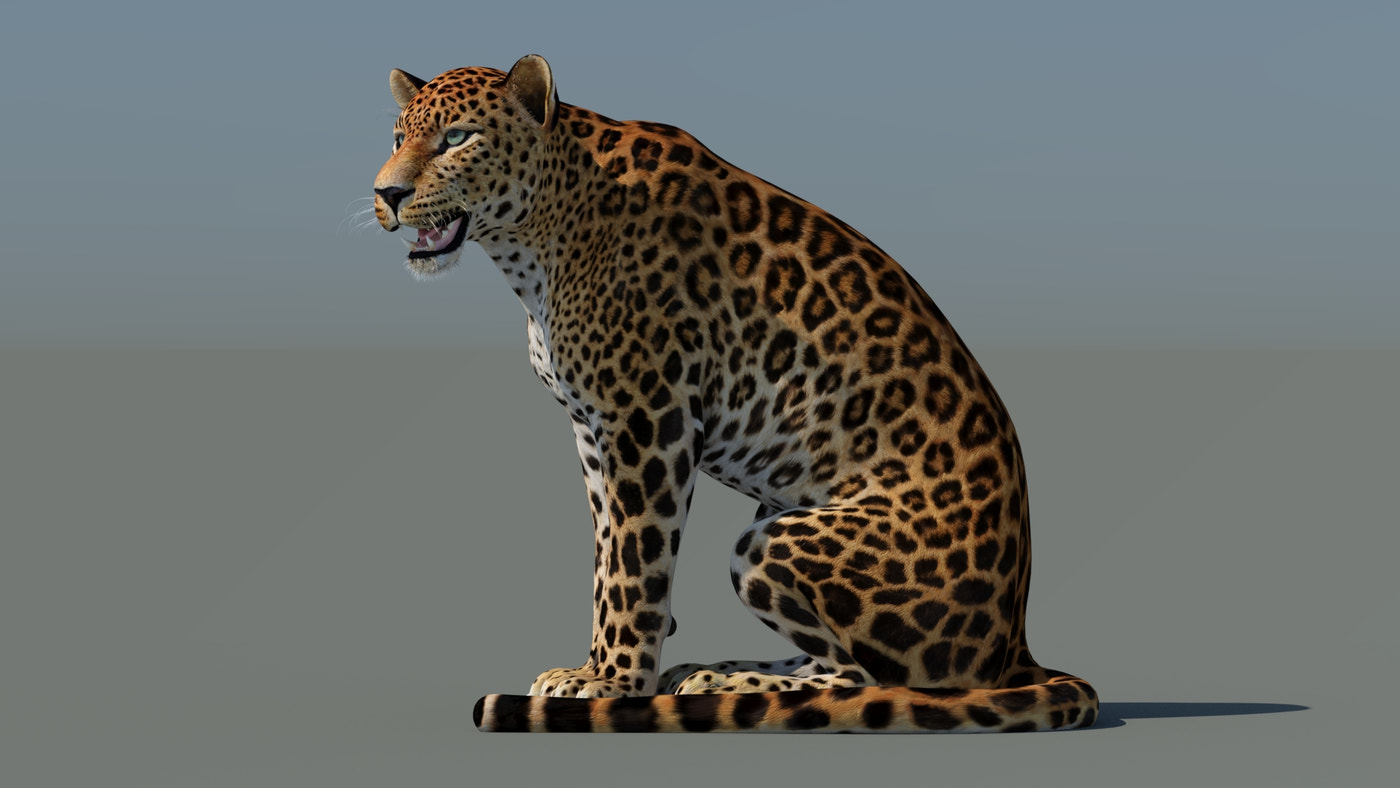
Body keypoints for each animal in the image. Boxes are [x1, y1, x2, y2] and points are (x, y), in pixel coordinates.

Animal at [372, 54, 1098, 732]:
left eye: (458, 138)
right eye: (397, 137)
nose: (387, 193)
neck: (534, 244)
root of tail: (1016, 646)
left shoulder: (648, 419)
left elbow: (635, 562)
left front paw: (614, 684)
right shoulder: (592, 430)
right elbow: (607, 553)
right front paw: (596, 668)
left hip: (776, 540)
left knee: (877, 681)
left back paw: (728, 685)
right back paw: (714, 674)